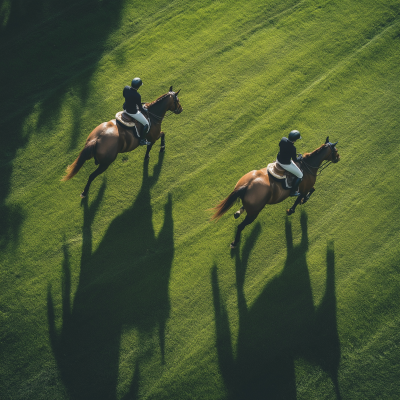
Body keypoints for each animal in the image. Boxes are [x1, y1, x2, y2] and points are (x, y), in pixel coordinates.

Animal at [211, 139, 340, 248]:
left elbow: (310, 191)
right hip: (253, 214)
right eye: (336, 151)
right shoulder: (304, 188)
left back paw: (238, 212)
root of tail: (246, 186)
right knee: (241, 226)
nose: (338, 158)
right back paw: (234, 243)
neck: (308, 165)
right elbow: (305, 195)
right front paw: (294, 208)